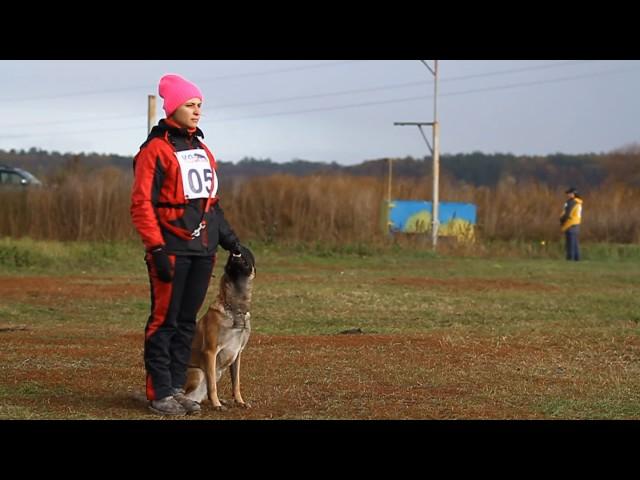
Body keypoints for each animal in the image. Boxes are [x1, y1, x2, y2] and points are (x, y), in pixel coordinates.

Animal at [182, 248, 255, 408]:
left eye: (247, 251)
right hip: (198, 372)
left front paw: (240, 401)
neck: (235, 309)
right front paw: (217, 405)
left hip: (218, 373)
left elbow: (236, 382)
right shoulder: (210, 351)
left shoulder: (238, 353)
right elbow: (212, 387)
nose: (238, 248)